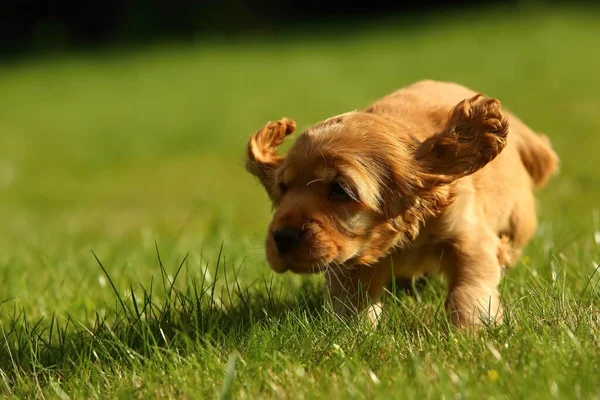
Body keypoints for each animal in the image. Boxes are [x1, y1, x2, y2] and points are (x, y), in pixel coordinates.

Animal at [244, 79, 556, 328]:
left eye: (340, 189)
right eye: (283, 188)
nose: (283, 237)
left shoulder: (469, 239)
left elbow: (469, 286)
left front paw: (471, 330)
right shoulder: (349, 261)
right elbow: (353, 298)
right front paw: (358, 333)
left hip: (517, 221)